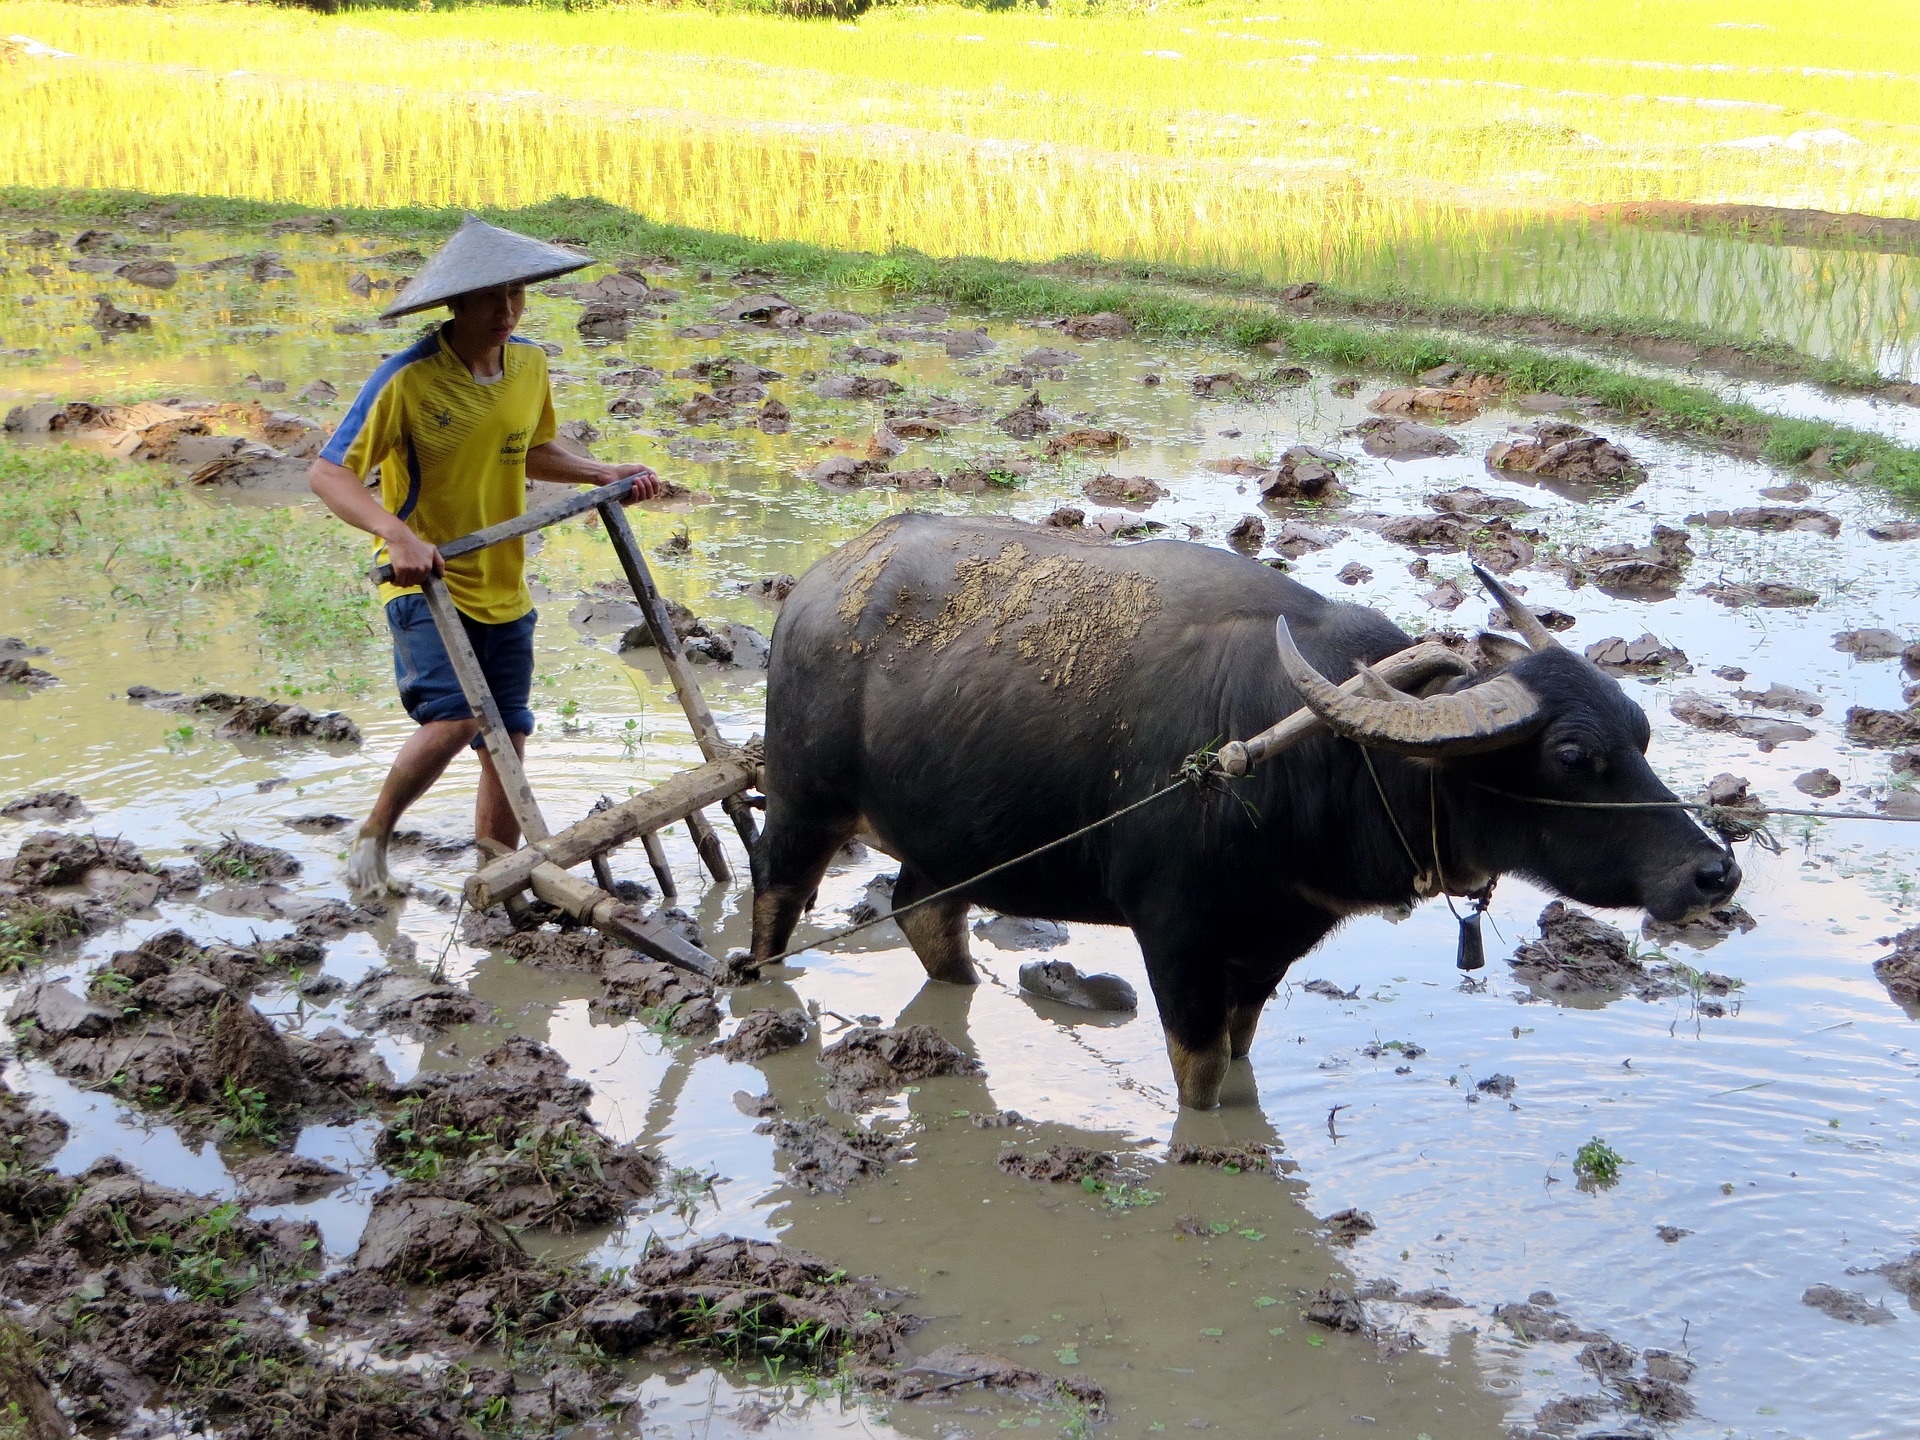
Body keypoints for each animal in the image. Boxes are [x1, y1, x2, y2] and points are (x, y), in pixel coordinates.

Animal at [752, 514, 1743, 1113]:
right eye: (1573, 756)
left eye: (1641, 730)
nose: (1714, 872)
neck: (1321, 759)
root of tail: (816, 589)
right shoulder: (1176, 934)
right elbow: (1197, 1070)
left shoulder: (1274, 940)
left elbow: (1239, 1049)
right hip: (803, 806)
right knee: (774, 904)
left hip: (950, 842)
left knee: (922, 910)